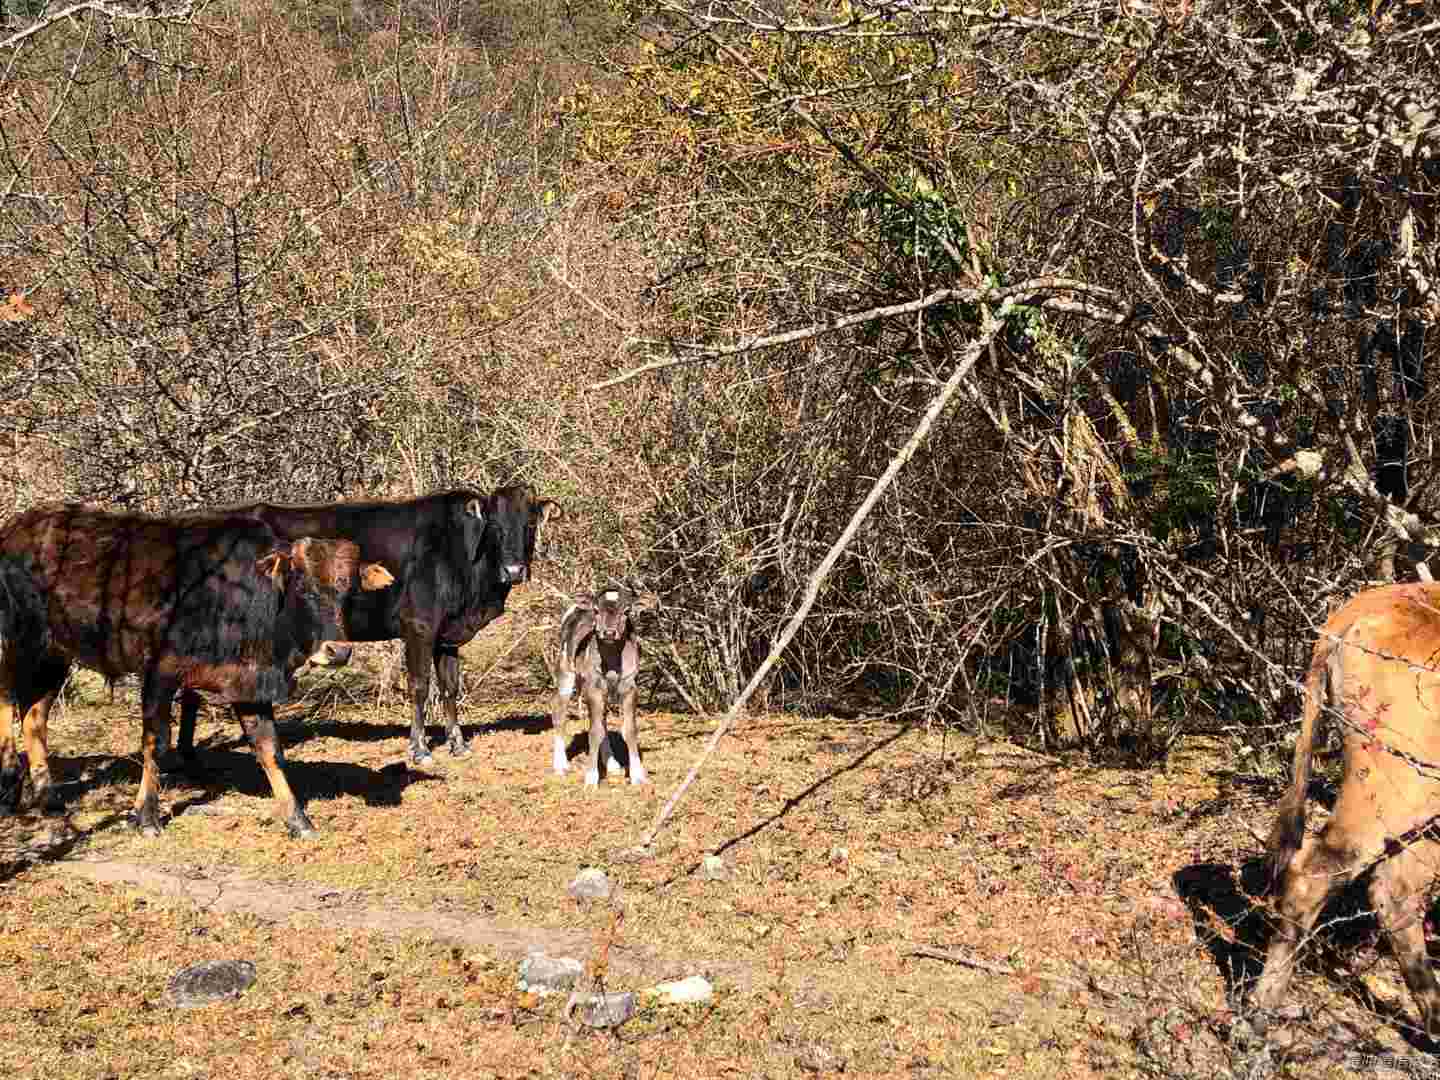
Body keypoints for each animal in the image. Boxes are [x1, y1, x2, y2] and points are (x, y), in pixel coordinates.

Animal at [0, 504, 394, 840]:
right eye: (302, 586)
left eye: (350, 592)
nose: (338, 651)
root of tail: (15, 527)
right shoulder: (159, 675)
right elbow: (156, 743)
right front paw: (146, 817)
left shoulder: (248, 685)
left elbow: (270, 749)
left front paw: (298, 820)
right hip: (16, 643)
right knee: (7, 704)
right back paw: (8, 783)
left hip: (55, 655)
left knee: (34, 719)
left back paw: (49, 800)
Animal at [182, 486, 552, 766]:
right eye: (495, 526)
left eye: (531, 524)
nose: (514, 570)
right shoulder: (418, 626)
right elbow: (420, 685)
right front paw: (419, 749)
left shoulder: (448, 635)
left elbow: (450, 687)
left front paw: (458, 744)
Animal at [547, 593, 645, 789]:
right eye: (596, 610)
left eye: (626, 611)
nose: (609, 632)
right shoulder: (593, 687)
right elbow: (594, 732)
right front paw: (591, 779)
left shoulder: (630, 686)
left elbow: (629, 729)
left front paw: (637, 776)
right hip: (565, 667)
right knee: (559, 708)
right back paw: (560, 765)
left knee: (603, 720)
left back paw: (612, 764)